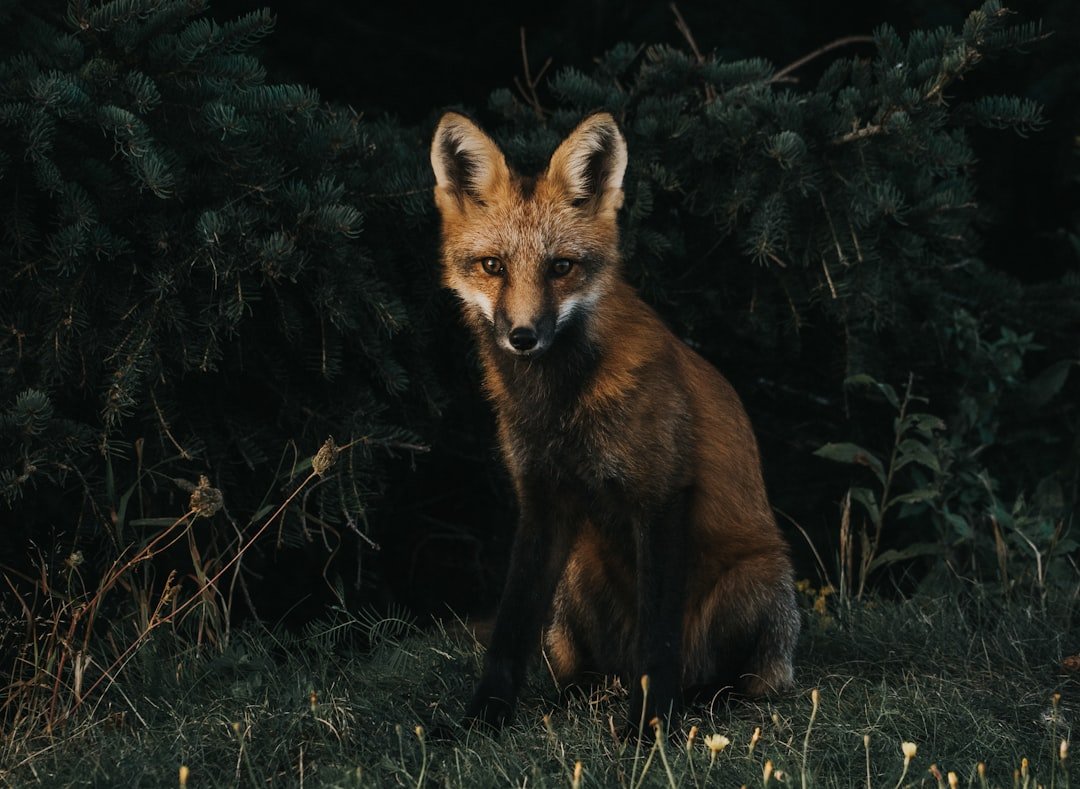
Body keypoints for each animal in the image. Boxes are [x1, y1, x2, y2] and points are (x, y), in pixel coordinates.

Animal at [429, 110, 800, 734]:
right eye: (492, 266)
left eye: (561, 267)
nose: (523, 336)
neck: (560, 406)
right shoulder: (541, 499)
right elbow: (509, 629)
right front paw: (482, 717)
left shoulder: (662, 493)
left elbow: (658, 638)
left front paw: (651, 728)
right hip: (576, 576)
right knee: (585, 668)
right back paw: (582, 693)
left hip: (759, 583)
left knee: (734, 679)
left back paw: (699, 699)